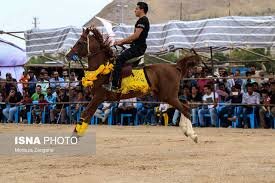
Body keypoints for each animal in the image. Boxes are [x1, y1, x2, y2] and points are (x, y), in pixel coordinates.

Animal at [65, 27, 203, 143]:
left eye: (80, 42)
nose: (67, 55)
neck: (103, 70)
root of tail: (175, 66)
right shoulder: (97, 99)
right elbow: (87, 116)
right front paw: (76, 135)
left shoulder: (98, 97)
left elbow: (85, 114)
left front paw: (74, 137)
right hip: (167, 96)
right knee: (185, 106)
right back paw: (187, 131)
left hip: (169, 96)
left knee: (185, 109)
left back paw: (193, 135)